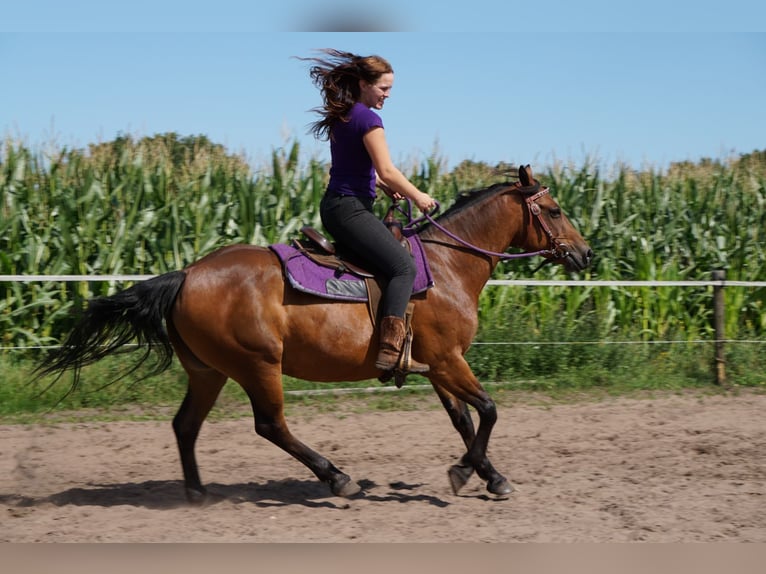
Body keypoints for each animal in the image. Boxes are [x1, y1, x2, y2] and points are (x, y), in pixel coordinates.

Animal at [34, 165, 593, 502]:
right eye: (556, 210)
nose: (586, 254)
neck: (447, 265)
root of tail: (186, 274)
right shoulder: (449, 361)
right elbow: (489, 410)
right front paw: (464, 473)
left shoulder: (437, 366)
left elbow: (464, 419)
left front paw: (491, 476)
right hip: (257, 365)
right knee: (270, 425)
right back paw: (336, 477)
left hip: (209, 371)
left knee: (185, 426)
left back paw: (197, 493)